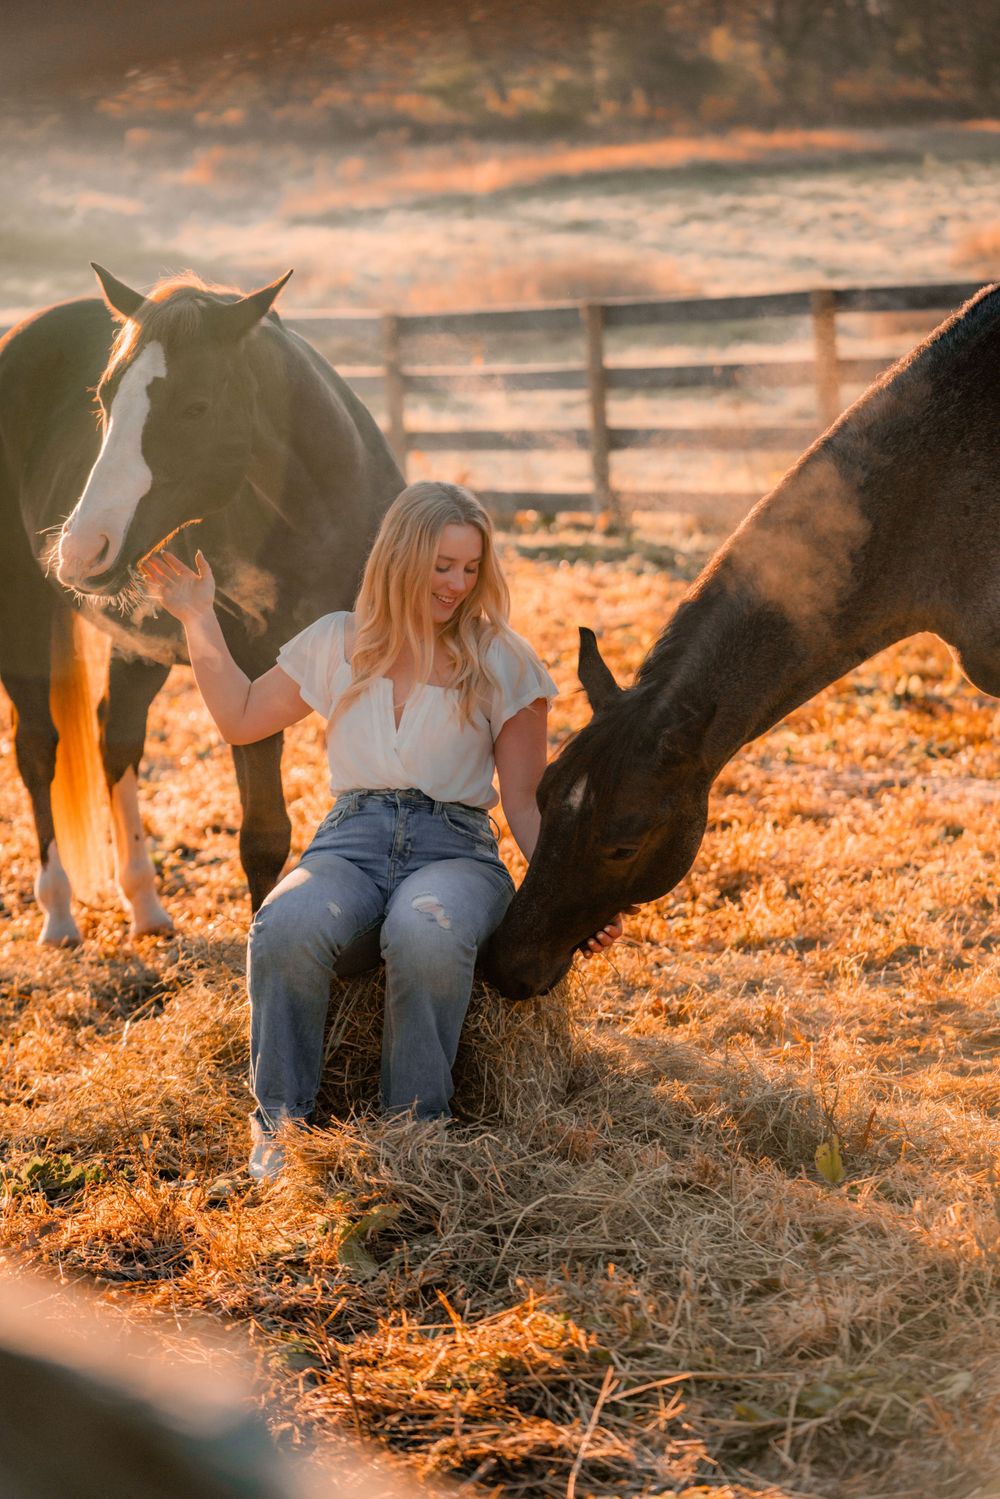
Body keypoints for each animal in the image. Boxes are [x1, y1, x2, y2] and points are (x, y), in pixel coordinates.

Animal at [0, 265, 403, 945]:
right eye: (104, 400)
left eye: (195, 407)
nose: (81, 549)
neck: (315, 516)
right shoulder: (248, 681)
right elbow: (264, 836)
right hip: (20, 610)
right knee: (38, 747)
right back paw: (58, 911)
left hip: (139, 645)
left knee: (117, 739)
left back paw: (144, 904)